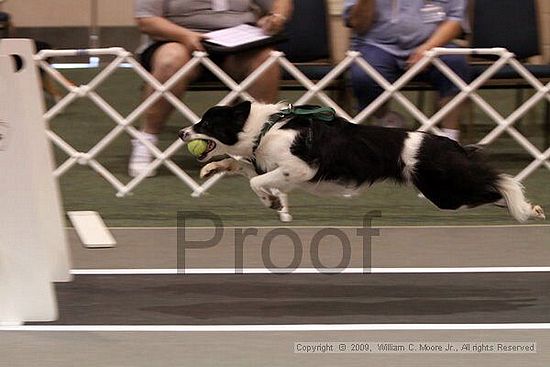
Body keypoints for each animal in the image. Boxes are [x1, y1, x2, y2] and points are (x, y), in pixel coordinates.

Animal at [179, 100, 544, 224]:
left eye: (206, 123)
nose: (183, 133)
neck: (265, 127)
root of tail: (447, 143)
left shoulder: (300, 168)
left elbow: (257, 180)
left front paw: (272, 202)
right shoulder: (270, 164)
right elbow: (240, 164)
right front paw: (211, 168)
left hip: (444, 191)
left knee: (496, 185)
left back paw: (525, 208)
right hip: (448, 191)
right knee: (491, 191)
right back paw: (531, 210)